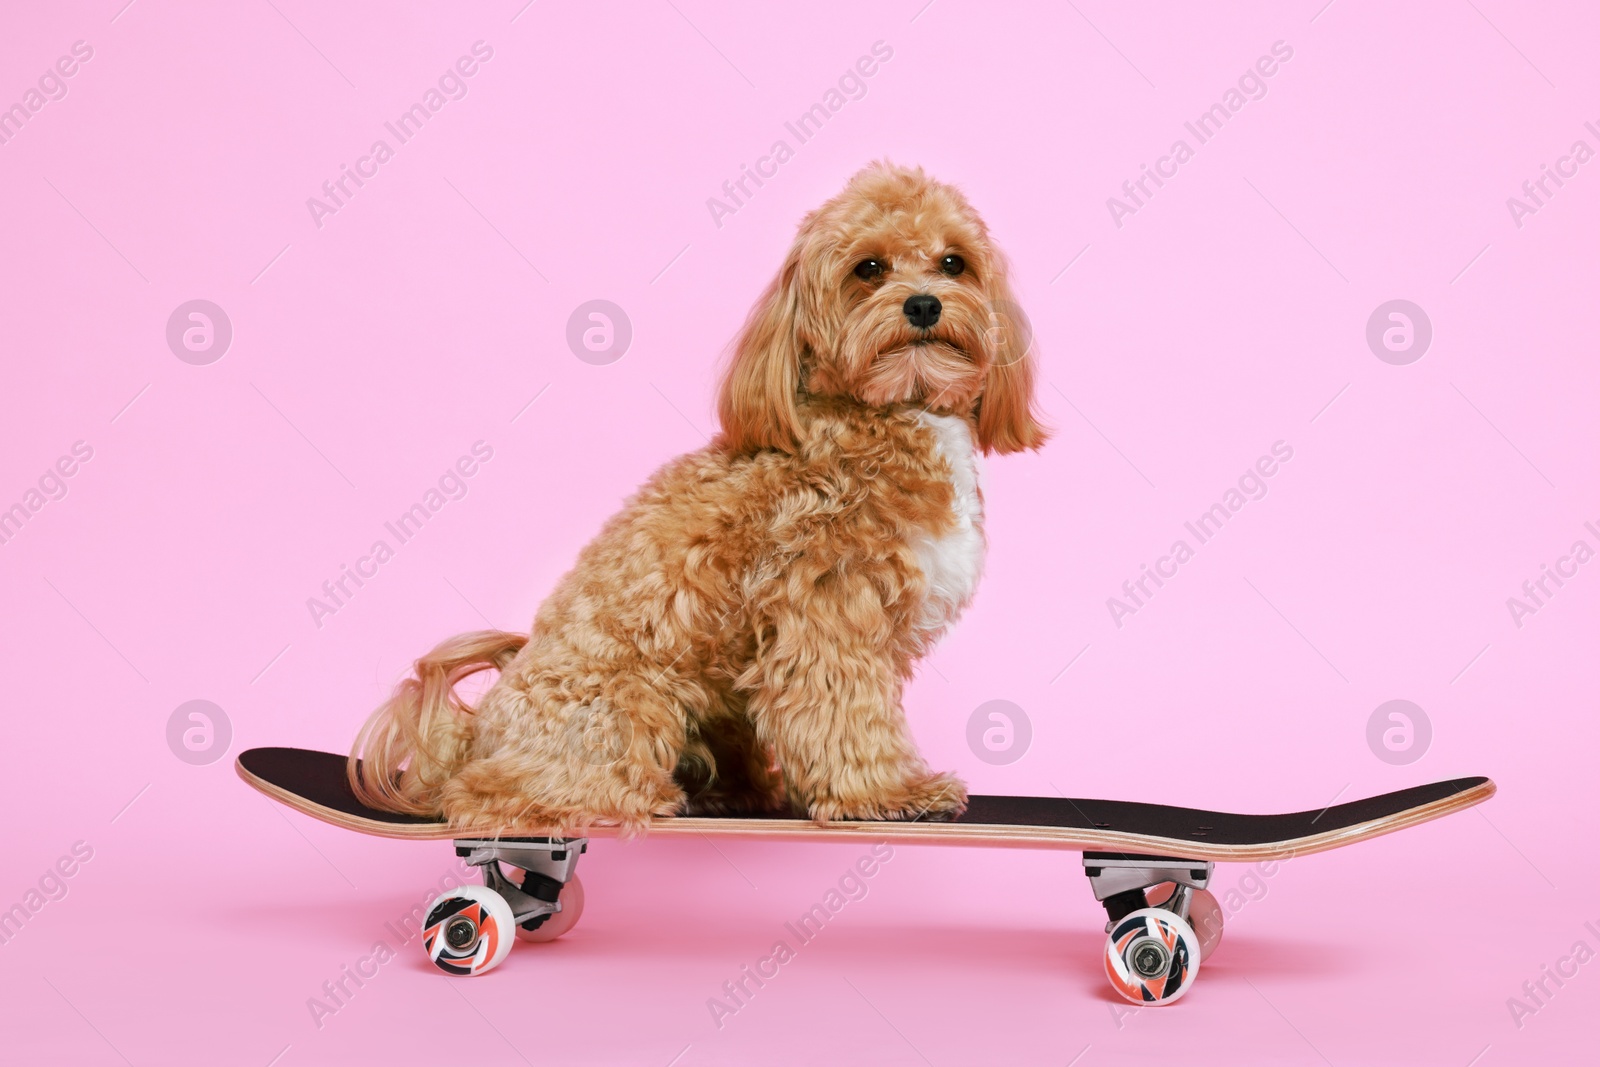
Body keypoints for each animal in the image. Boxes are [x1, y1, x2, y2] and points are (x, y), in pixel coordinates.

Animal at [352, 163, 1049, 831]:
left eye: (954, 262)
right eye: (869, 269)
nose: (925, 305)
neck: (891, 412)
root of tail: (476, 738)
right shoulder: (825, 607)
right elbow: (844, 713)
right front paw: (885, 794)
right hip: (625, 709)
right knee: (495, 794)